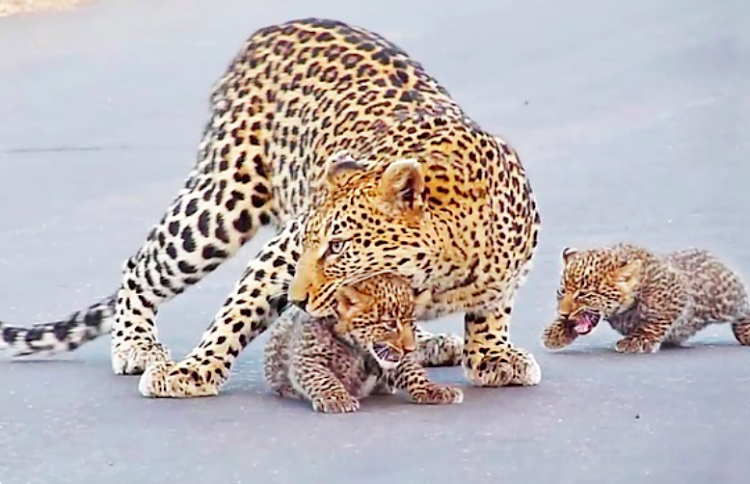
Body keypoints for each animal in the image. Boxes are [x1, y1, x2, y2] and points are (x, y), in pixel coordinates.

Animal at [0, 18, 544, 398]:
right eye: (313, 244)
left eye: (339, 247)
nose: (299, 300)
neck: (446, 268)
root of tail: (273, 29)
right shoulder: (280, 256)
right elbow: (234, 316)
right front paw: (192, 373)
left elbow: (492, 311)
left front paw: (493, 357)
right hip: (221, 200)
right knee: (140, 264)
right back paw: (136, 344)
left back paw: (430, 342)